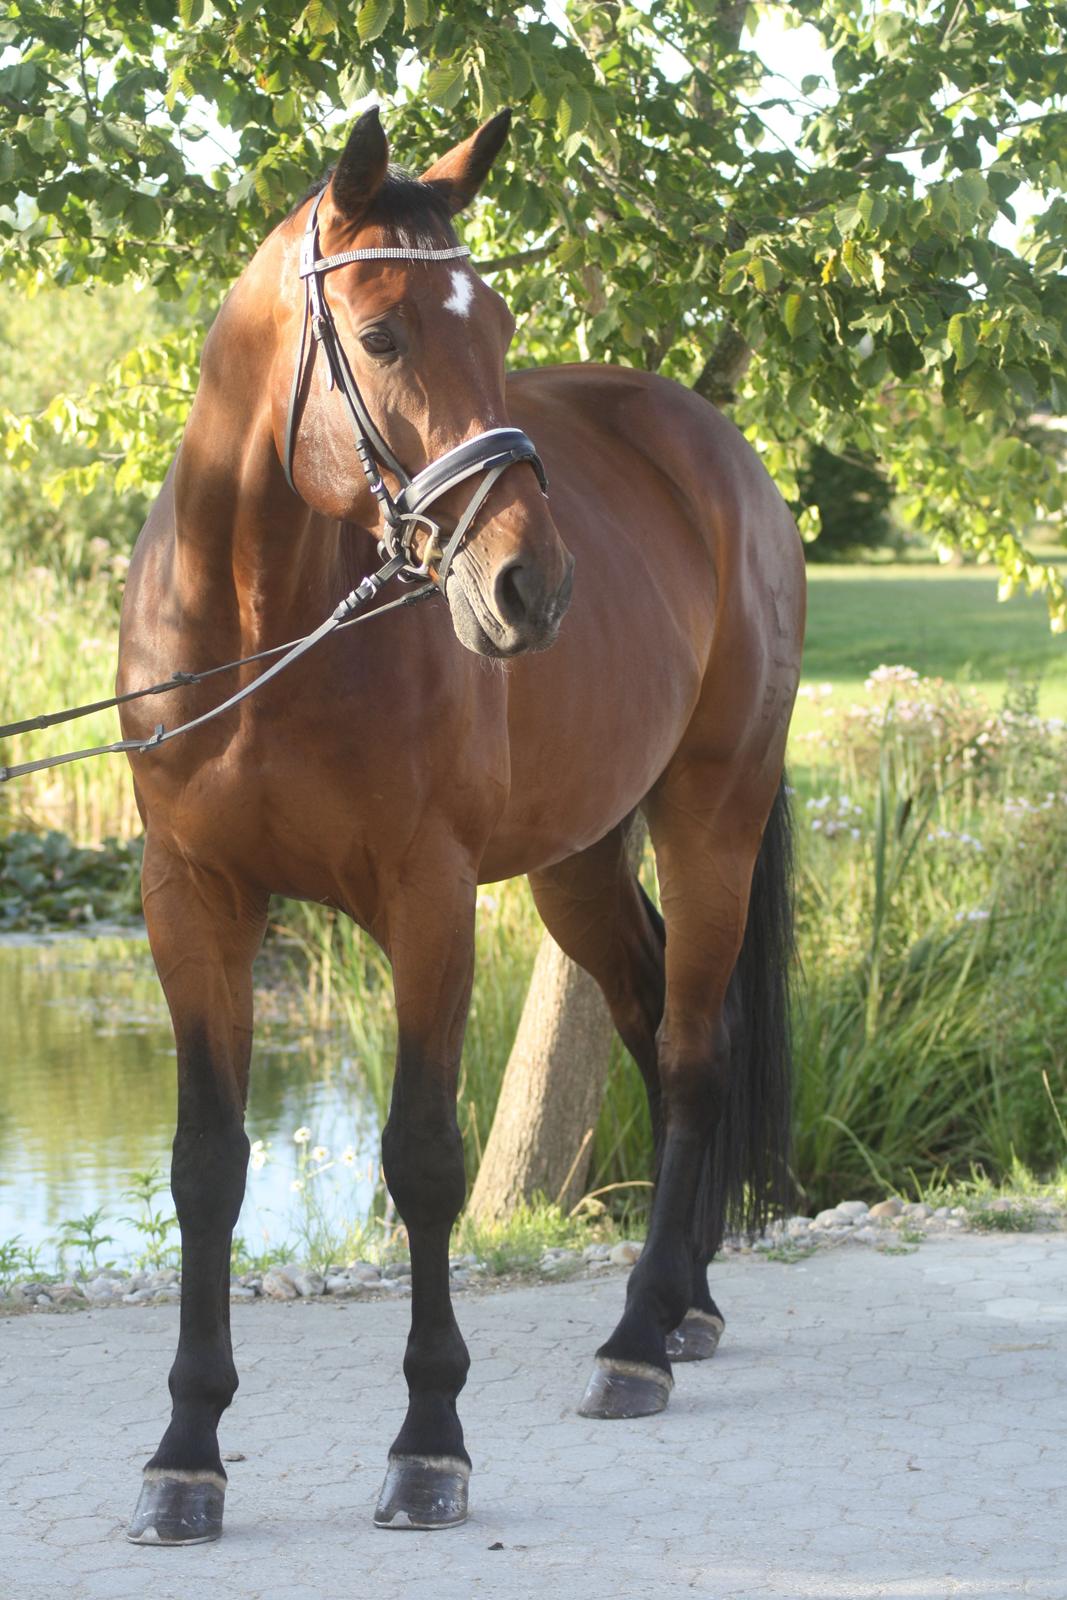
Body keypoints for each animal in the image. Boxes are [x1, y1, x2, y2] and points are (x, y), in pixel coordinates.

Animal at [119, 103, 799, 1536]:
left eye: (497, 330)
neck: (266, 631)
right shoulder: (192, 901)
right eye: (381, 336)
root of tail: (717, 455)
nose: (529, 585)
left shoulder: (426, 901)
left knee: (694, 1050)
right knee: (652, 1025)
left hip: (709, 814)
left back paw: (634, 1345)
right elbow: (206, 1164)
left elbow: (425, 1155)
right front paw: (185, 1452)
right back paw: (682, 1302)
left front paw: (429, 1441)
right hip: (579, 862)